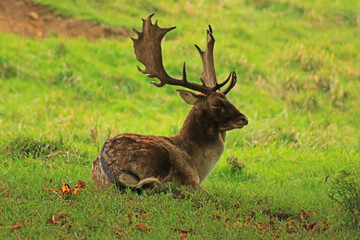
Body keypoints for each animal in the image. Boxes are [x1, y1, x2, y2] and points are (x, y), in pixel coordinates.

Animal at [91, 13, 248, 193]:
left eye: (228, 99)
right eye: (215, 104)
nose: (244, 118)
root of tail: (111, 170)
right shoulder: (189, 178)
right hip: (158, 156)